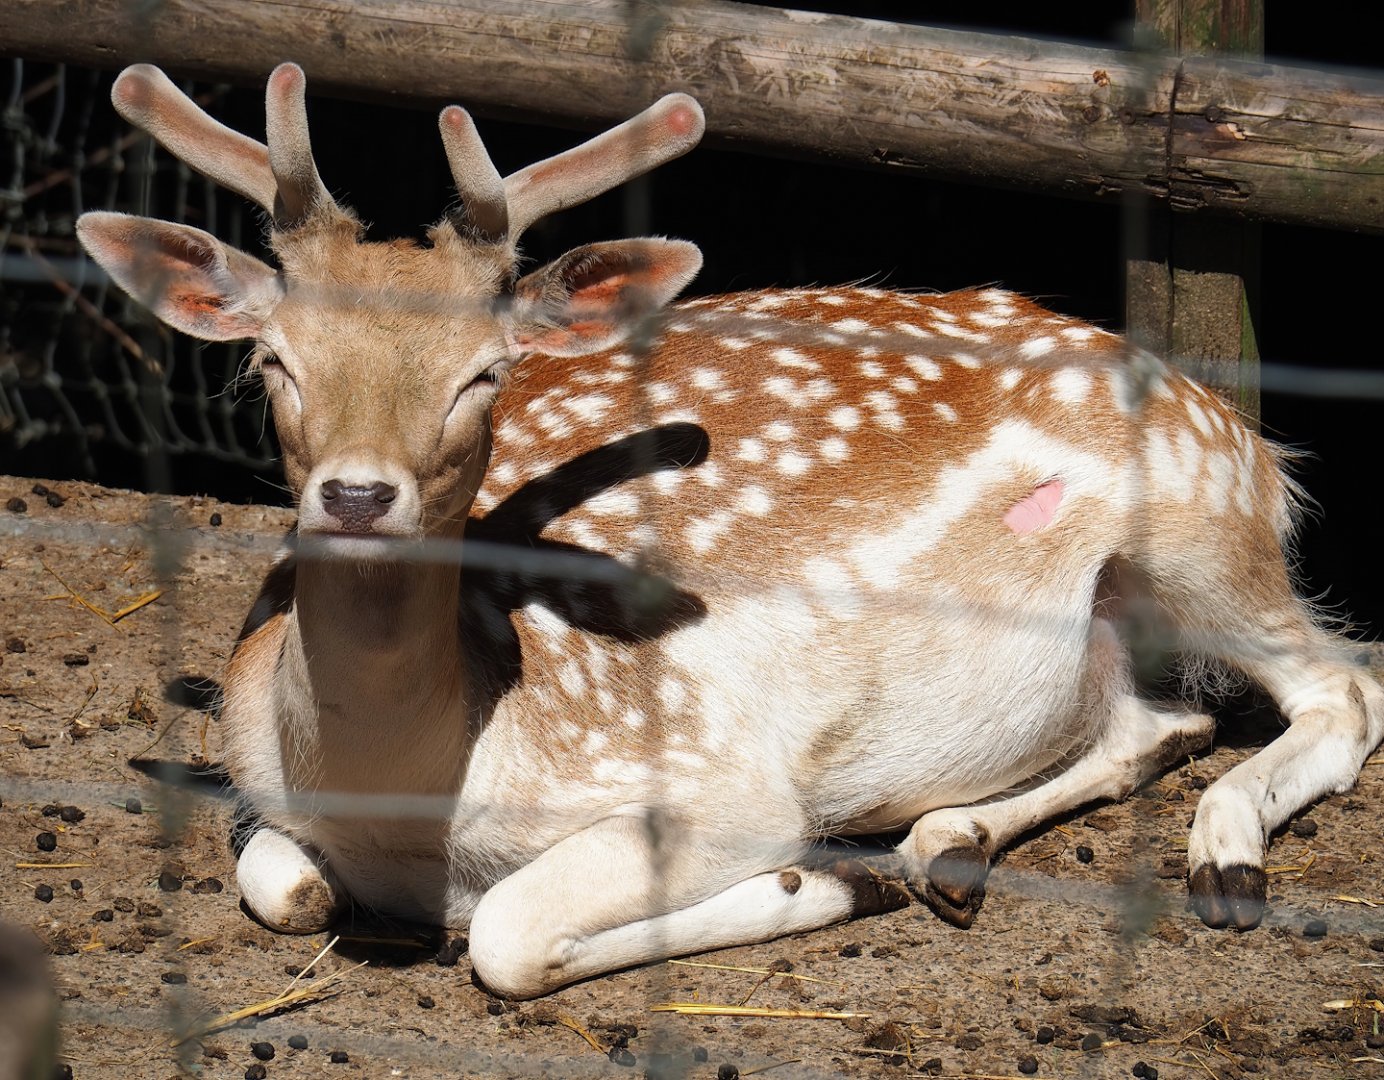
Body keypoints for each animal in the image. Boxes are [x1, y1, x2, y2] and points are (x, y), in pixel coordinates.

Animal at [77, 63, 1383, 1000]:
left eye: (484, 372)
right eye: (273, 360)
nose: (357, 497)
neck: (404, 796)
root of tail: (1249, 430)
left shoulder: (715, 776)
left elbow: (503, 930)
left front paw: (825, 886)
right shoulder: (257, 784)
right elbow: (284, 887)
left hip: (1205, 534)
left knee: (1339, 685)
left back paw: (1220, 859)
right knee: (1159, 722)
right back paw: (948, 844)